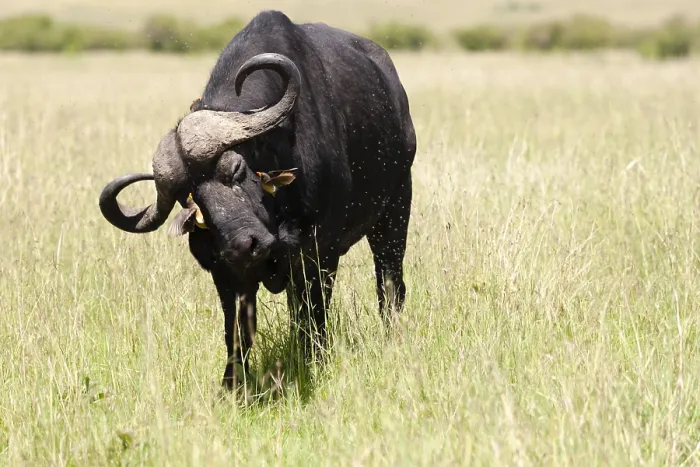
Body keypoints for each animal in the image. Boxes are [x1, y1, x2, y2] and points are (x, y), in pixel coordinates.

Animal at [99, 10, 416, 389]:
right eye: (190, 201)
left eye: (235, 168)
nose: (243, 246)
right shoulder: (226, 274)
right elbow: (237, 330)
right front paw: (232, 384)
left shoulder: (318, 255)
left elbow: (315, 316)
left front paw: (313, 362)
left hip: (396, 208)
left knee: (389, 282)